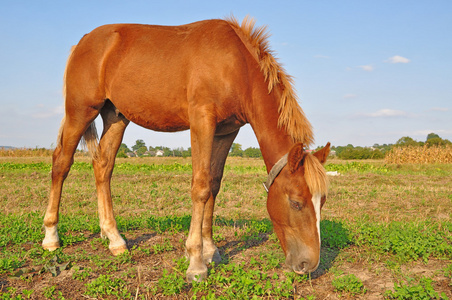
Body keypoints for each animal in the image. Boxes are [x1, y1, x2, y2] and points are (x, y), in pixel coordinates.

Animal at [43, 17, 332, 282]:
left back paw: (114, 238)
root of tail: (84, 41)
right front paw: (196, 263)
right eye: (296, 203)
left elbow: (214, 185)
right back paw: (51, 236)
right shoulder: (202, 121)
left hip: (115, 116)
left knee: (103, 166)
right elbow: (201, 187)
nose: (309, 264)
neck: (236, 65)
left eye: (322, 201)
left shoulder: (226, 131)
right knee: (61, 163)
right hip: (80, 111)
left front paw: (211, 250)